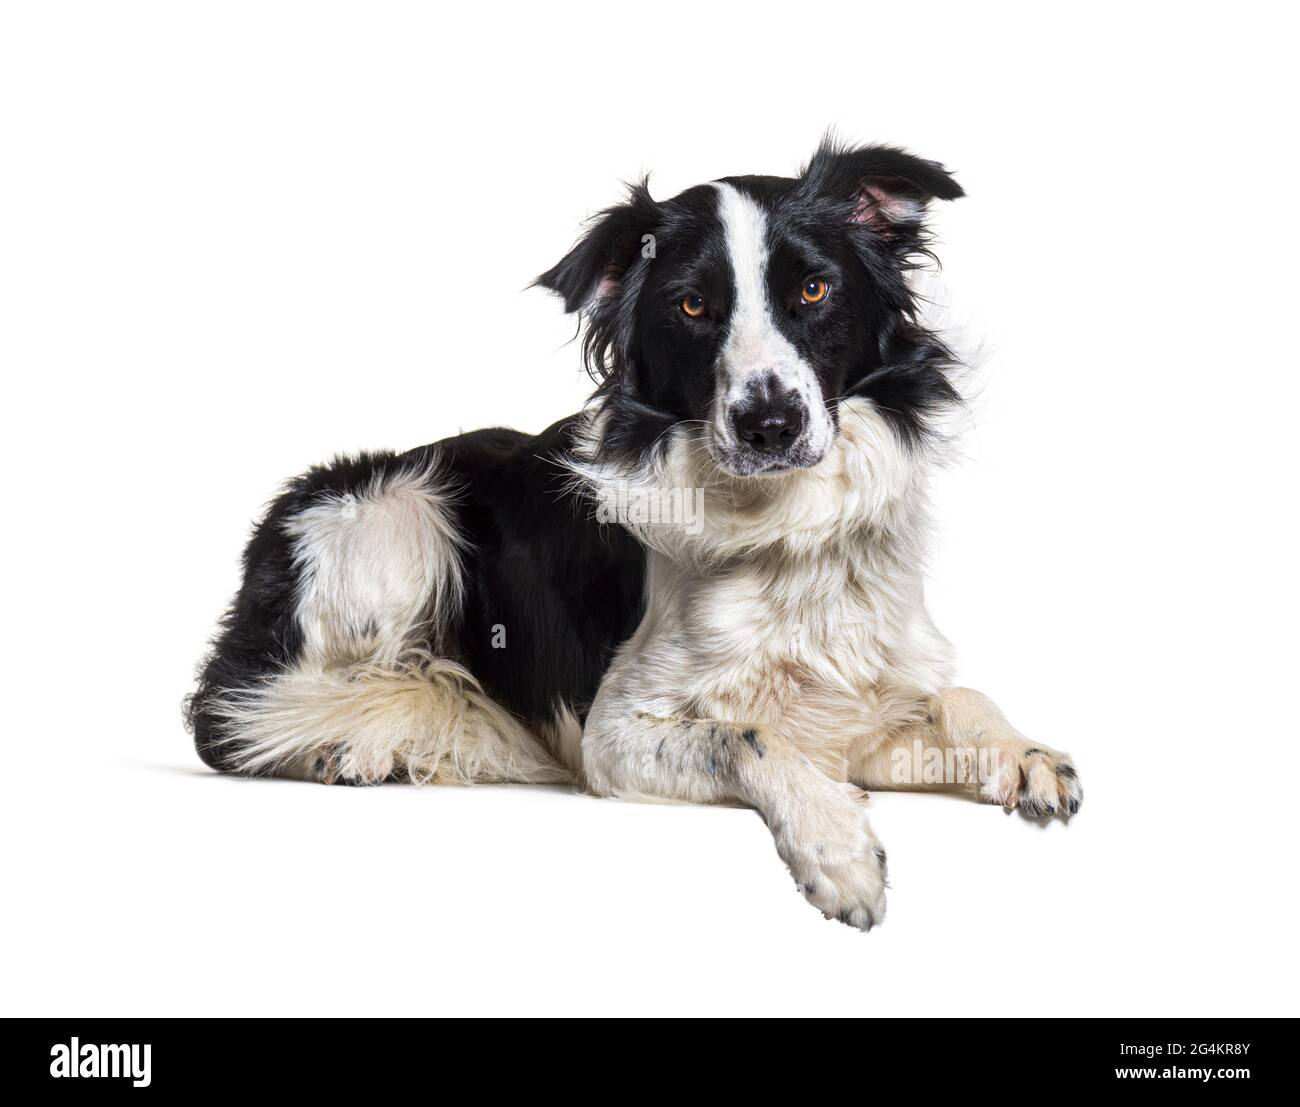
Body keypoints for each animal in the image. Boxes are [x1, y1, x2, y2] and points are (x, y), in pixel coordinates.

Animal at [188, 142, 1081, 930]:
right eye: (691, 306)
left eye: (814, 289)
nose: (769, 424)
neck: (784, 528)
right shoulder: (613, 736)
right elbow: (747, 735)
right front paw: (837, 846)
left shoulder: (854, 709)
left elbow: (956, 696)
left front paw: (1024, 752)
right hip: (400, 513)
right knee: (235, 711)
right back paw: (338, 747)